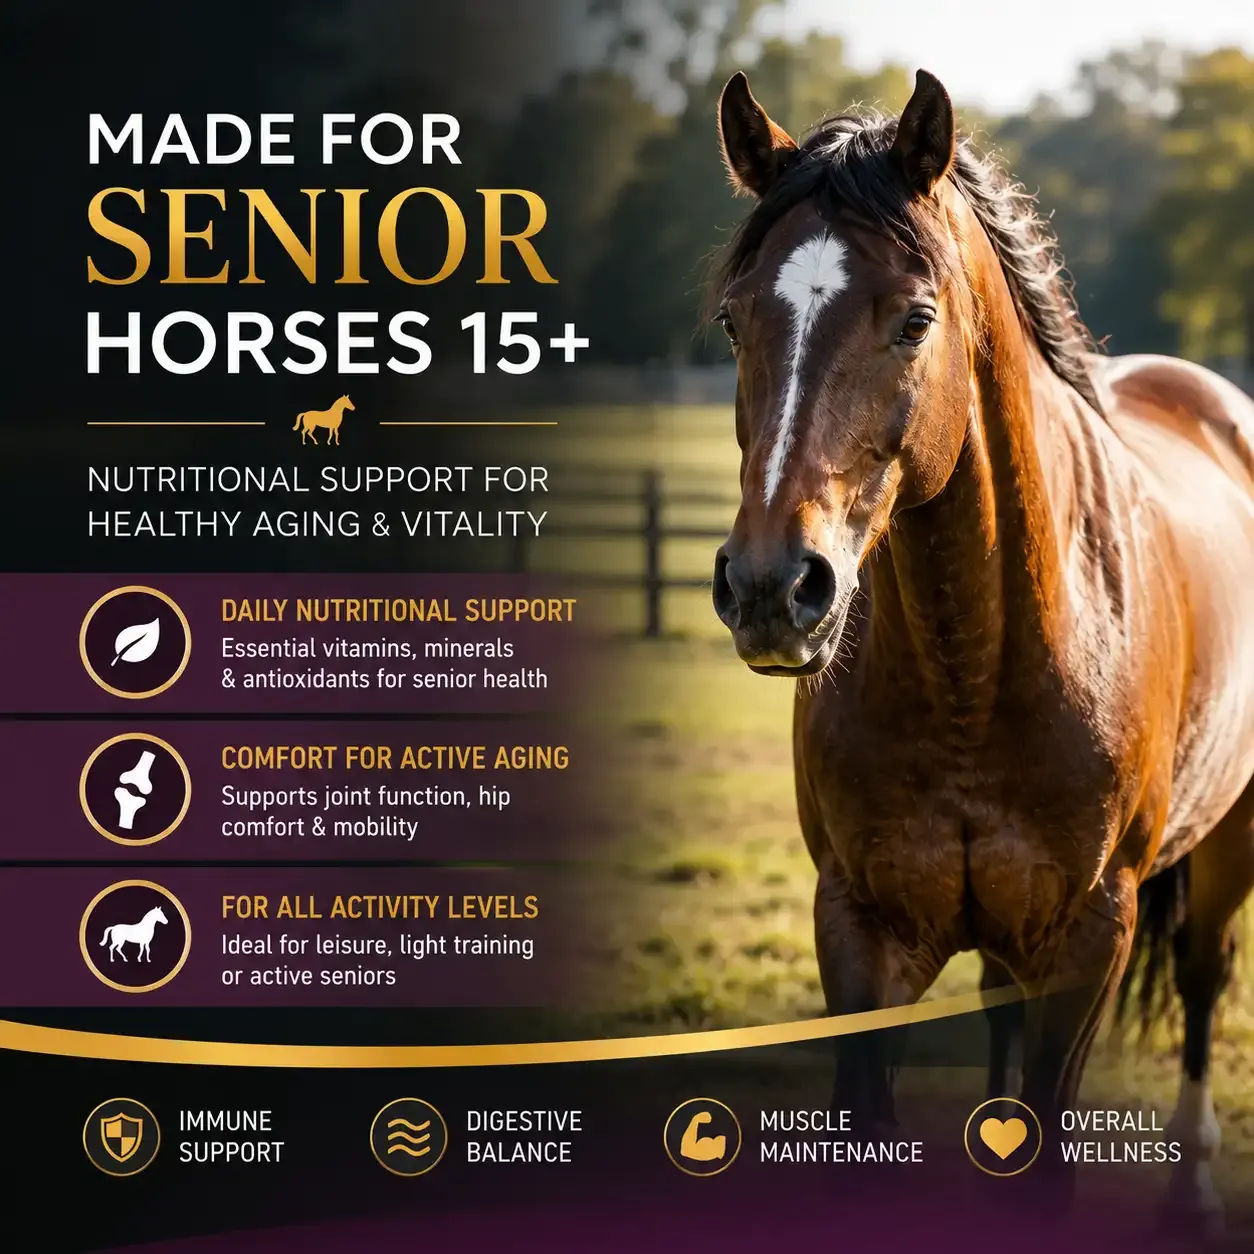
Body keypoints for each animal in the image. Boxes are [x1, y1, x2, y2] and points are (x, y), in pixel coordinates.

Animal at [710, 68, 1254, 1230]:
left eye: (916, 319)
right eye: (733, 319)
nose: (774, 589)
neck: (980, 670)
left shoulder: (1092, 940)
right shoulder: (860, 928)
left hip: (1229, 841)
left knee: (1202, 977)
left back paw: (1191, 1180)